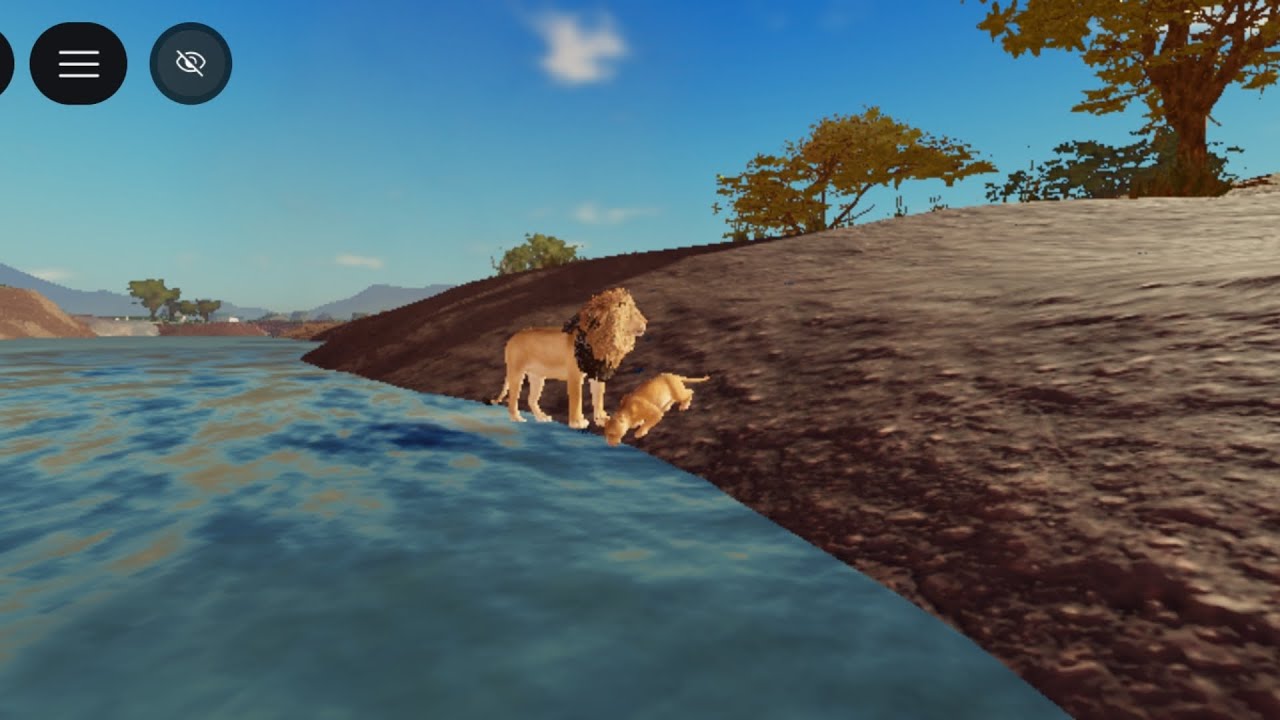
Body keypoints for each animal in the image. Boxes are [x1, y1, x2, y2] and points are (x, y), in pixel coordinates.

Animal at [490, 287, 647, 429]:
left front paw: (602, 420)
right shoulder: (575, 375)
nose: (645, 322)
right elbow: (576, 399)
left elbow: (598, 398)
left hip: (537, 376)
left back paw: (542, 417)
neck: (601, 338)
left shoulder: (597, 373)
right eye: (630, 313)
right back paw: (517, 418)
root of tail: (511, 339)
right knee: (512, 399)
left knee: (531, 399)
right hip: (516, 373)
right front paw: (577, 423)